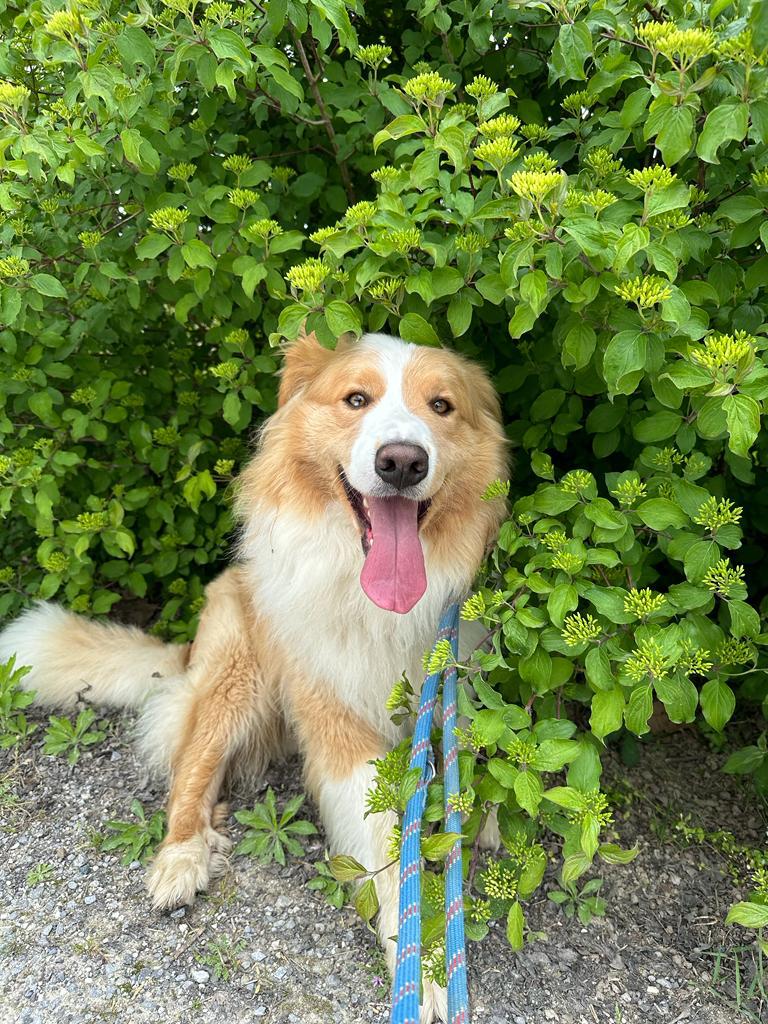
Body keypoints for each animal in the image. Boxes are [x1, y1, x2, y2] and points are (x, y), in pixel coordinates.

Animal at [0, 331, 507, 1022]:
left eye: (442, 406)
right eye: (356, 399)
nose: (402, 462)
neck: (378, 603)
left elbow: (474, 763)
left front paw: (482, 823)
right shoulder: (341, 730)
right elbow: (387, 850)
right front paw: (423, 968)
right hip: (236, 676)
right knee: (191, 768)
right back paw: (185, 856)